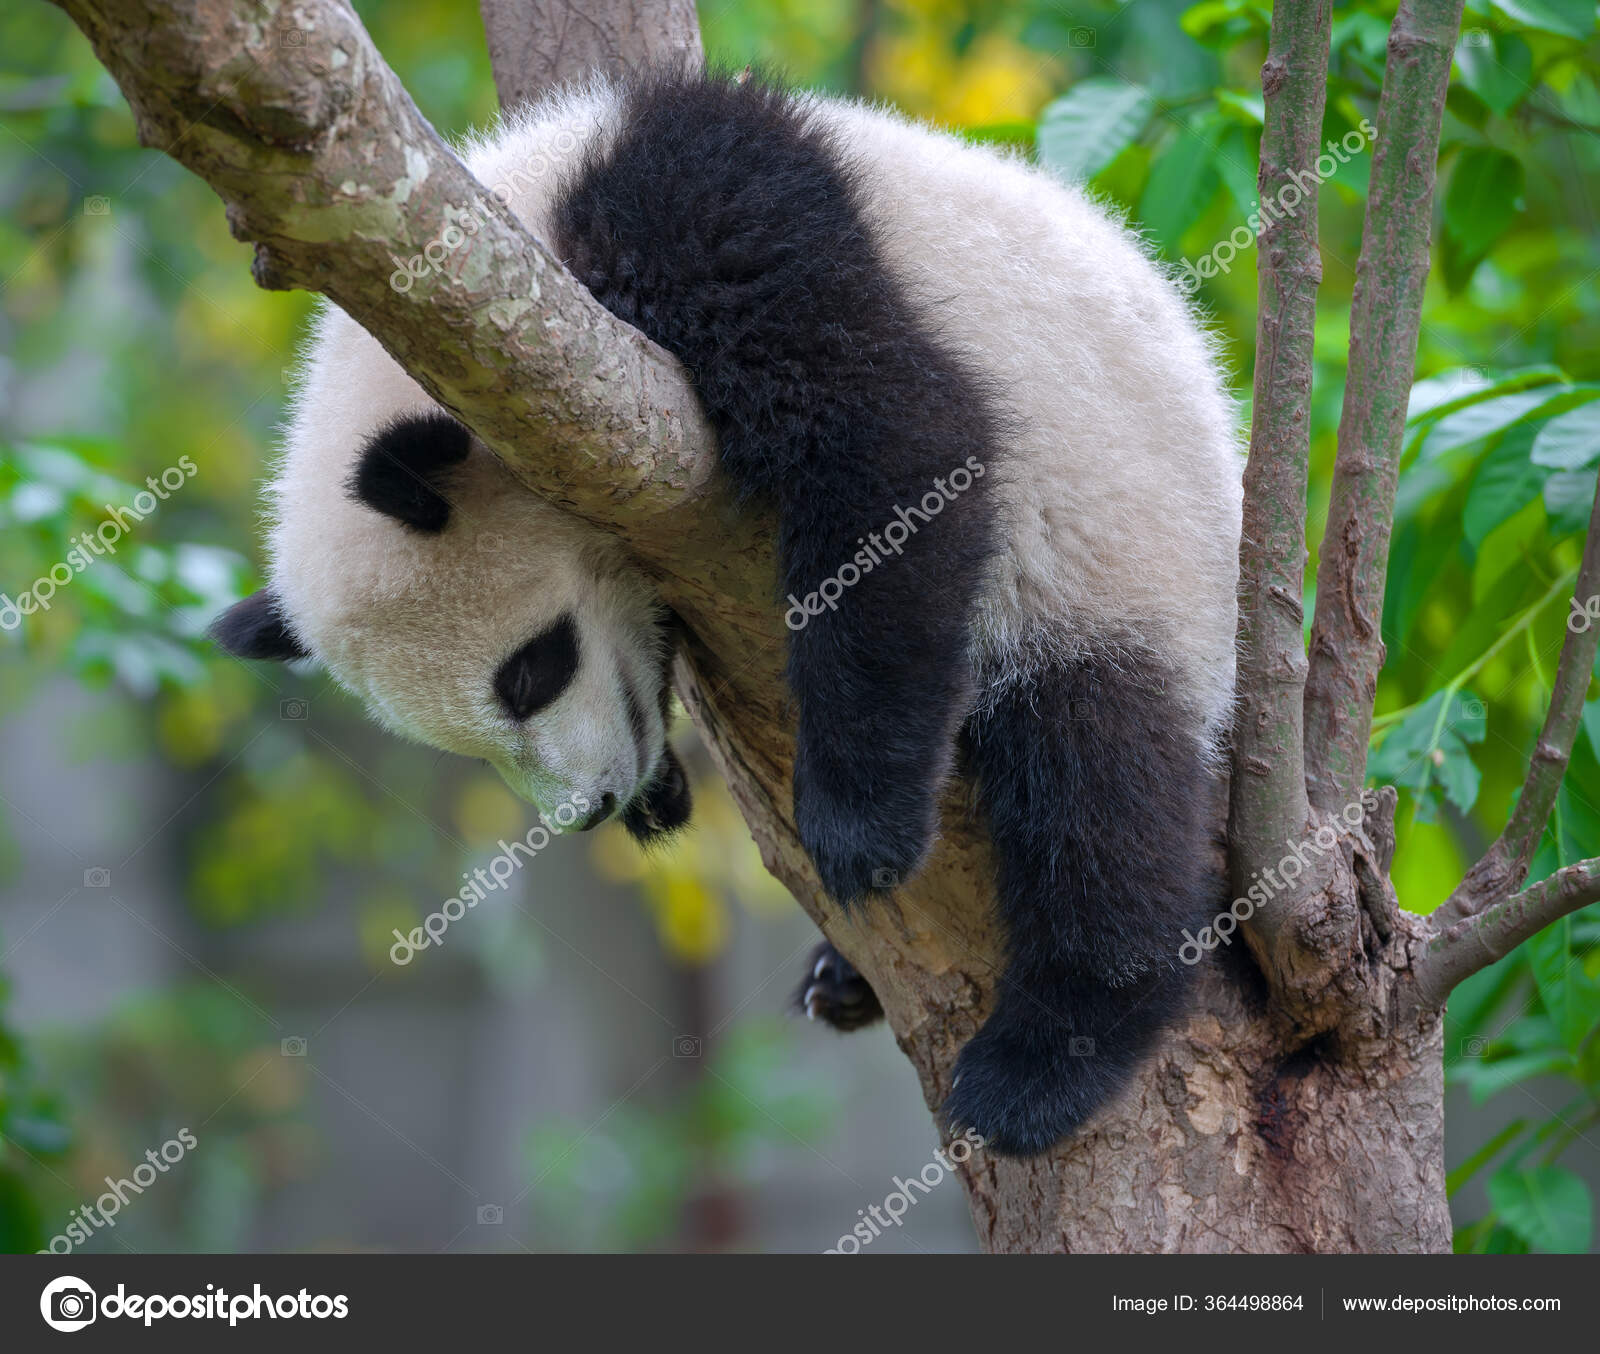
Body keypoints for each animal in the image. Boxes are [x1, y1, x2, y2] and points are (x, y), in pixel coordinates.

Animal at [211, 66, 1242, 1157]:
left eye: (533, 669)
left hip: (1126, 565)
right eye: (466, 741)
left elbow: (896, 440)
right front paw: (667, 788)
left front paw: (859, 829)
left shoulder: (705, 214)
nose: (593, 808)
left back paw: (1045, 1063)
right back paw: (844, 983)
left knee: (1098, 782)